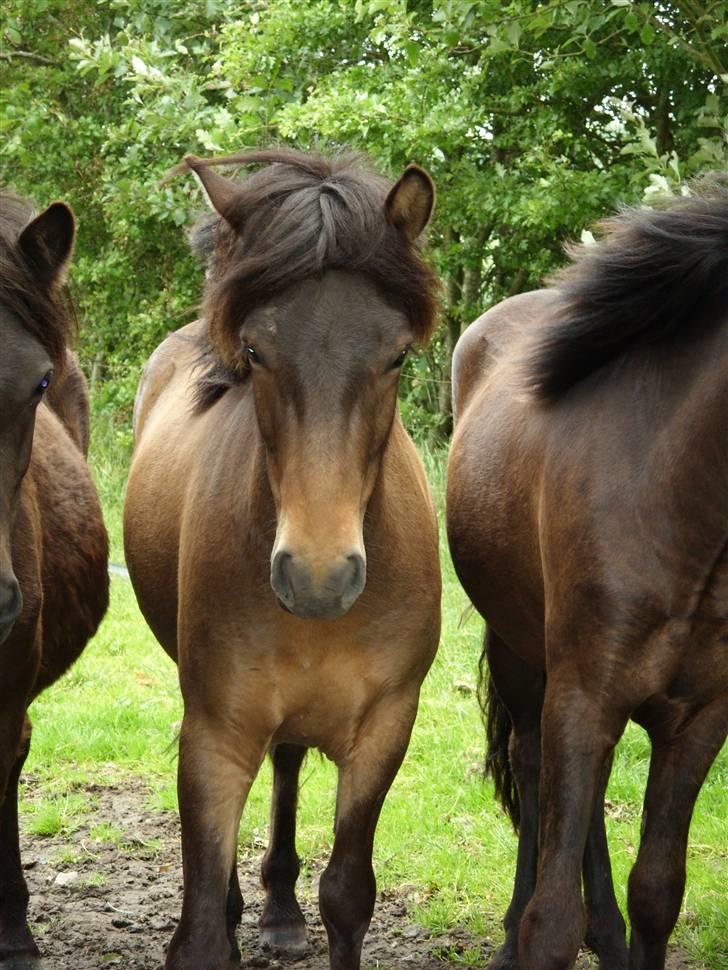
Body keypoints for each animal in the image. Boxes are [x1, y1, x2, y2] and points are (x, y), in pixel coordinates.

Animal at [124, 151, 440, 968]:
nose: (318, 577)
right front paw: (228, 917)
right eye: (255, 352)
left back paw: (279, 907)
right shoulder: (214, 733)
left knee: (290, 761)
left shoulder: (385, 730)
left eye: (397, 354)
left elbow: (349, 894)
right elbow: (201, 921)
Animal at [446, 182, 728, 968]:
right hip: (524, 658)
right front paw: (530, 932)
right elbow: (550, 923)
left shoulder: (699, 719)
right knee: (532, 768)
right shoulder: (582, 694)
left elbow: (658, 890)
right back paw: (513, 930)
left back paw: (607, 931)